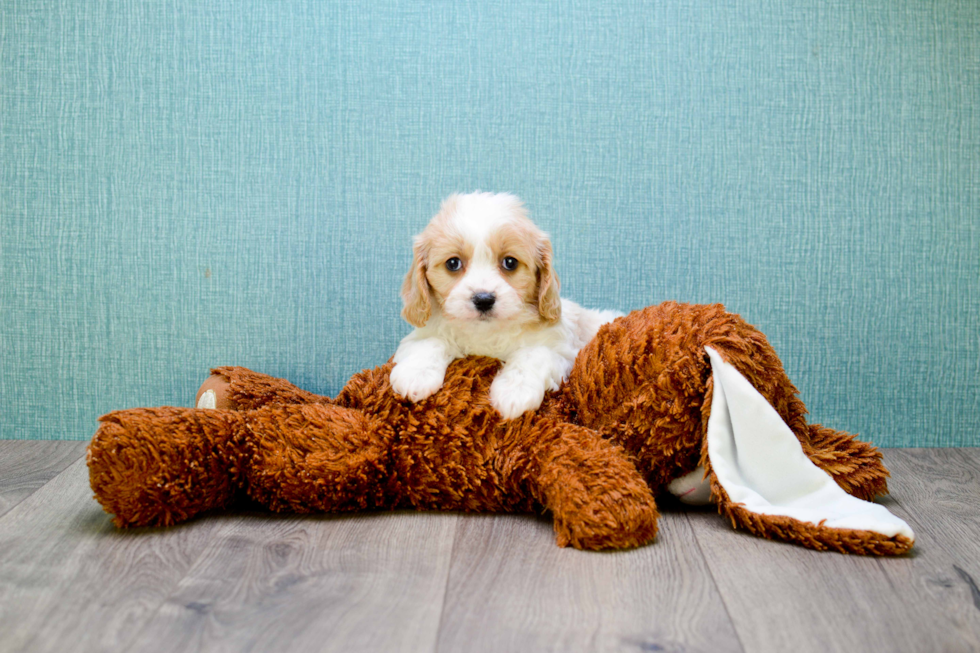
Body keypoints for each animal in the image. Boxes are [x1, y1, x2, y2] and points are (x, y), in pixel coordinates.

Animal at [390, 192, 620, 418]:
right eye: (453, 263)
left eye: (510, 262)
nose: (483, 299)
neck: (486, 333)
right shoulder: (423, 333)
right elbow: (429, 342)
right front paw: (415, 375)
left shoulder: (563, 351)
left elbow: (534, 354)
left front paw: (515, 392)